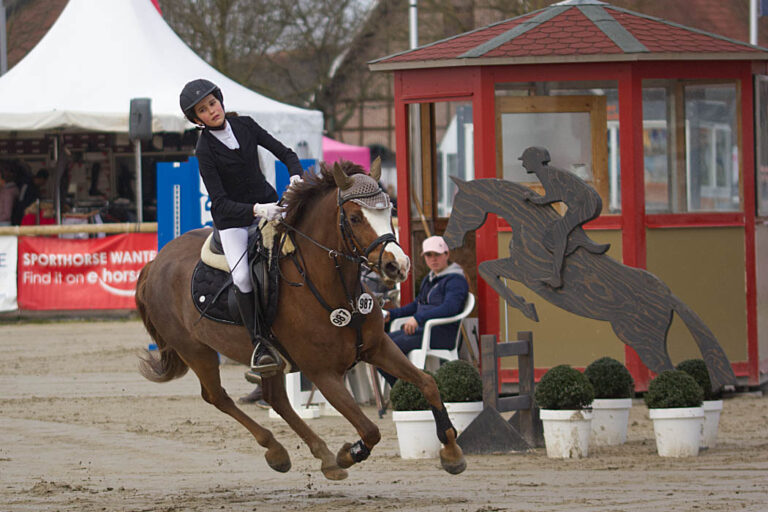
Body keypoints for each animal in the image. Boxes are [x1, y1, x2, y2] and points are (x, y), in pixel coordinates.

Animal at [135, 161, 464, 480]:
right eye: (355, 217)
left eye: (389, 210)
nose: (398, 265)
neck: (335, 289)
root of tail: (156, 261)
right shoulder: (322, 373)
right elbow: (370, 430)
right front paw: (348, 454)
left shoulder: (378, 347)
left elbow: (428, 383)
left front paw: (451, 451)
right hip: (195, 350)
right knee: (217, 397)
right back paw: (279, 450)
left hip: (270, 361)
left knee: (276, 399)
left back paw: (318, 455)